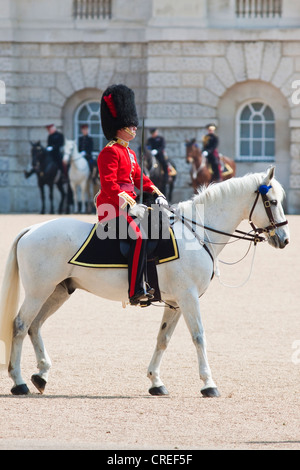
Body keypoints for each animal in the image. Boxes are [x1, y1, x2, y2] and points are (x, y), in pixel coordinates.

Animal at [0, 168, 290, 396]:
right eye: (273, 201)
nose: (285, 239)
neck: (197, 232)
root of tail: (32, 229)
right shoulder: (188, 296)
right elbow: (198, 336)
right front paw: (208, 383)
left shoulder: (175, 302)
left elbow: (163, 339)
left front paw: (156, 381)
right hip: (38, 292)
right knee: (20, 325)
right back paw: (18, 381)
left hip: (57, 292)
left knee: (35, 326)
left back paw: (41, 375)